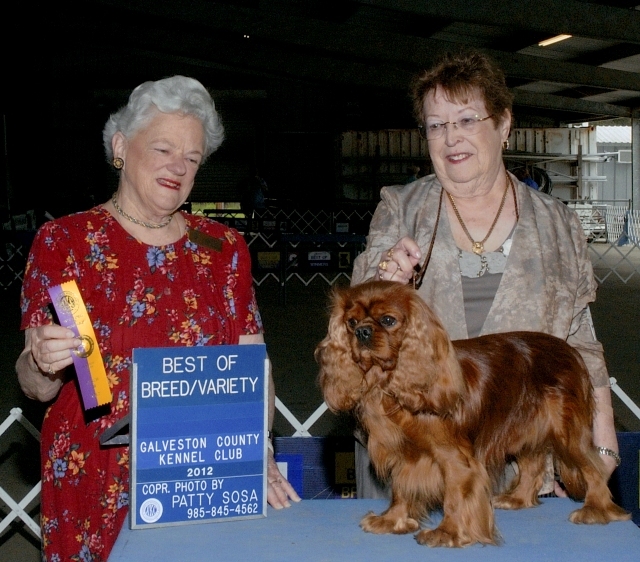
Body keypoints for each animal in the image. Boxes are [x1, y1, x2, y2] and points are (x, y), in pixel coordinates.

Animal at [316, 280, 632, 548]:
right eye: (351, 322)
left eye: (388, 320)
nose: (362, 332)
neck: (391, 386)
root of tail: (570, 349)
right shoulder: (405, 454)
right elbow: (401, 489)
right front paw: (393, 520)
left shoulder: (455, 458)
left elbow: (455, 495)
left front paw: (448, 533)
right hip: (524, 427)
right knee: (532, 465)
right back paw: (518, 499)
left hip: (568, 433)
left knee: (592, 468)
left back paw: (595, 510)